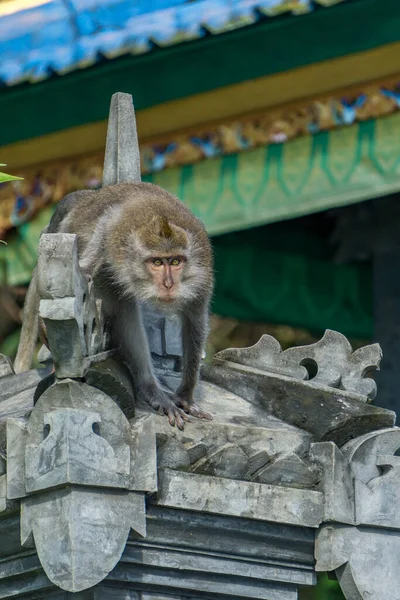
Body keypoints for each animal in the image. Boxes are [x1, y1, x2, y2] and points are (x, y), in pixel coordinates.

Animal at [14, 180, 214, 428]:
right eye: (157, 262)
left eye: (176, 262)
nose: (168, 284)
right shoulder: (116, 237)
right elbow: (103, 232)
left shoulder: (202, 273)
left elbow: (194, 324)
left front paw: (186, 396)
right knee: (122, 305)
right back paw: (151, 389)